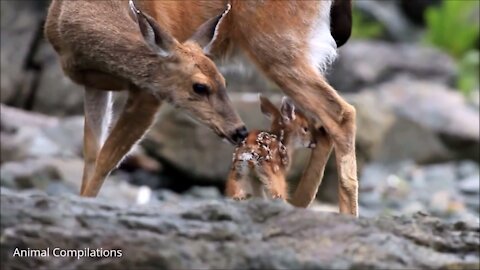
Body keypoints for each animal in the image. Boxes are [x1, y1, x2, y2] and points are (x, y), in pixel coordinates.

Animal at [45, 0, 358, 216]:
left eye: (223, 81)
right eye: (201, 86)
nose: (239, 130)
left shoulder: (148, 94)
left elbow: (106, 160)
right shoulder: (94, 86)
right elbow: (91, 154)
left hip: (279, 44)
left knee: (341, 113)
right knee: (320, 124)